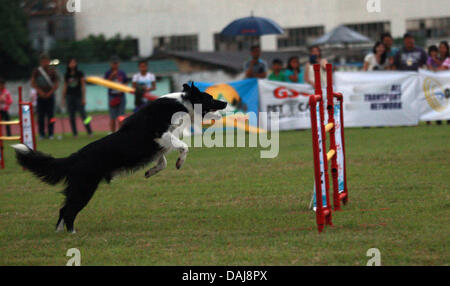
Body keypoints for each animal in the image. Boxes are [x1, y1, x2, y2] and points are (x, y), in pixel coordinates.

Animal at [12, 82, 227, 232]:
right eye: (210, 98)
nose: (225, 102)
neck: (182, 104)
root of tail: (76, 156)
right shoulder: (161, 135)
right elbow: (183, 147)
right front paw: (180, 162)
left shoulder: (159, 145)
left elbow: (163, 161)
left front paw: (151, 171)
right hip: (85, 188)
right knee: (69, 211)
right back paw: (72, 234)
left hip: (79, 188)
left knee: (62, 210)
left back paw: (59, 234)